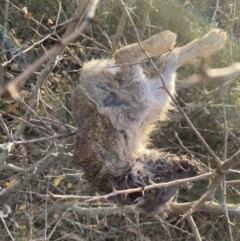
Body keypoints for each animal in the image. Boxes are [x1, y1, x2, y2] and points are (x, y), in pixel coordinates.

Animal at [71, 29, 227, 214]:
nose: (189, 170)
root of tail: (86, 77)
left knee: (137, 55)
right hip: (140, 94)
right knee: (138, 56)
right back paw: (192, 40)